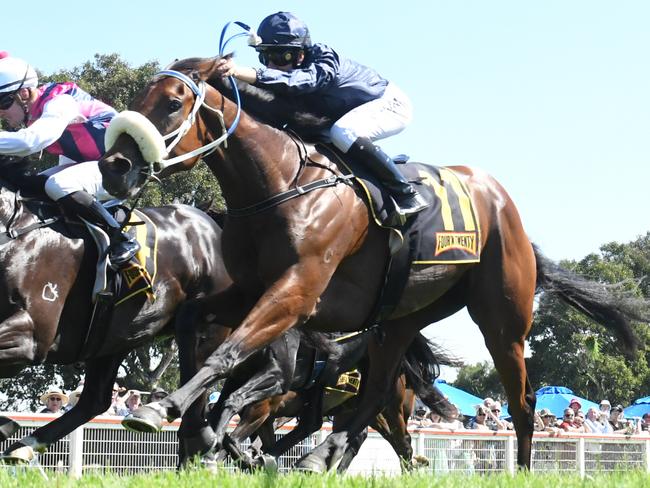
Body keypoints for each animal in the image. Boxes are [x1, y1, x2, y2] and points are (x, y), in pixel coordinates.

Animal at [0, 158, 230, 460]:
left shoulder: (32, 334)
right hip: (114, 337)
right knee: (94, 401)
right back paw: (25, 444)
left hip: (207, 326)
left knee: (199, 379)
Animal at [97, 55, 648, 470]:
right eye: (141, 98)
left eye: (173, 102)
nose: (114, 167)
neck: (281, 183)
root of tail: (504, 205)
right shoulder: (251, 290)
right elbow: (196, 324)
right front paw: (195, 423)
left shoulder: (298, 291)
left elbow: (228, 354)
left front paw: (162, 408)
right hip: (399, 318)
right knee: (376, 394)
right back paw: (317, 455)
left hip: (502, 317)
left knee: (522, 400)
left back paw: (524, 469)